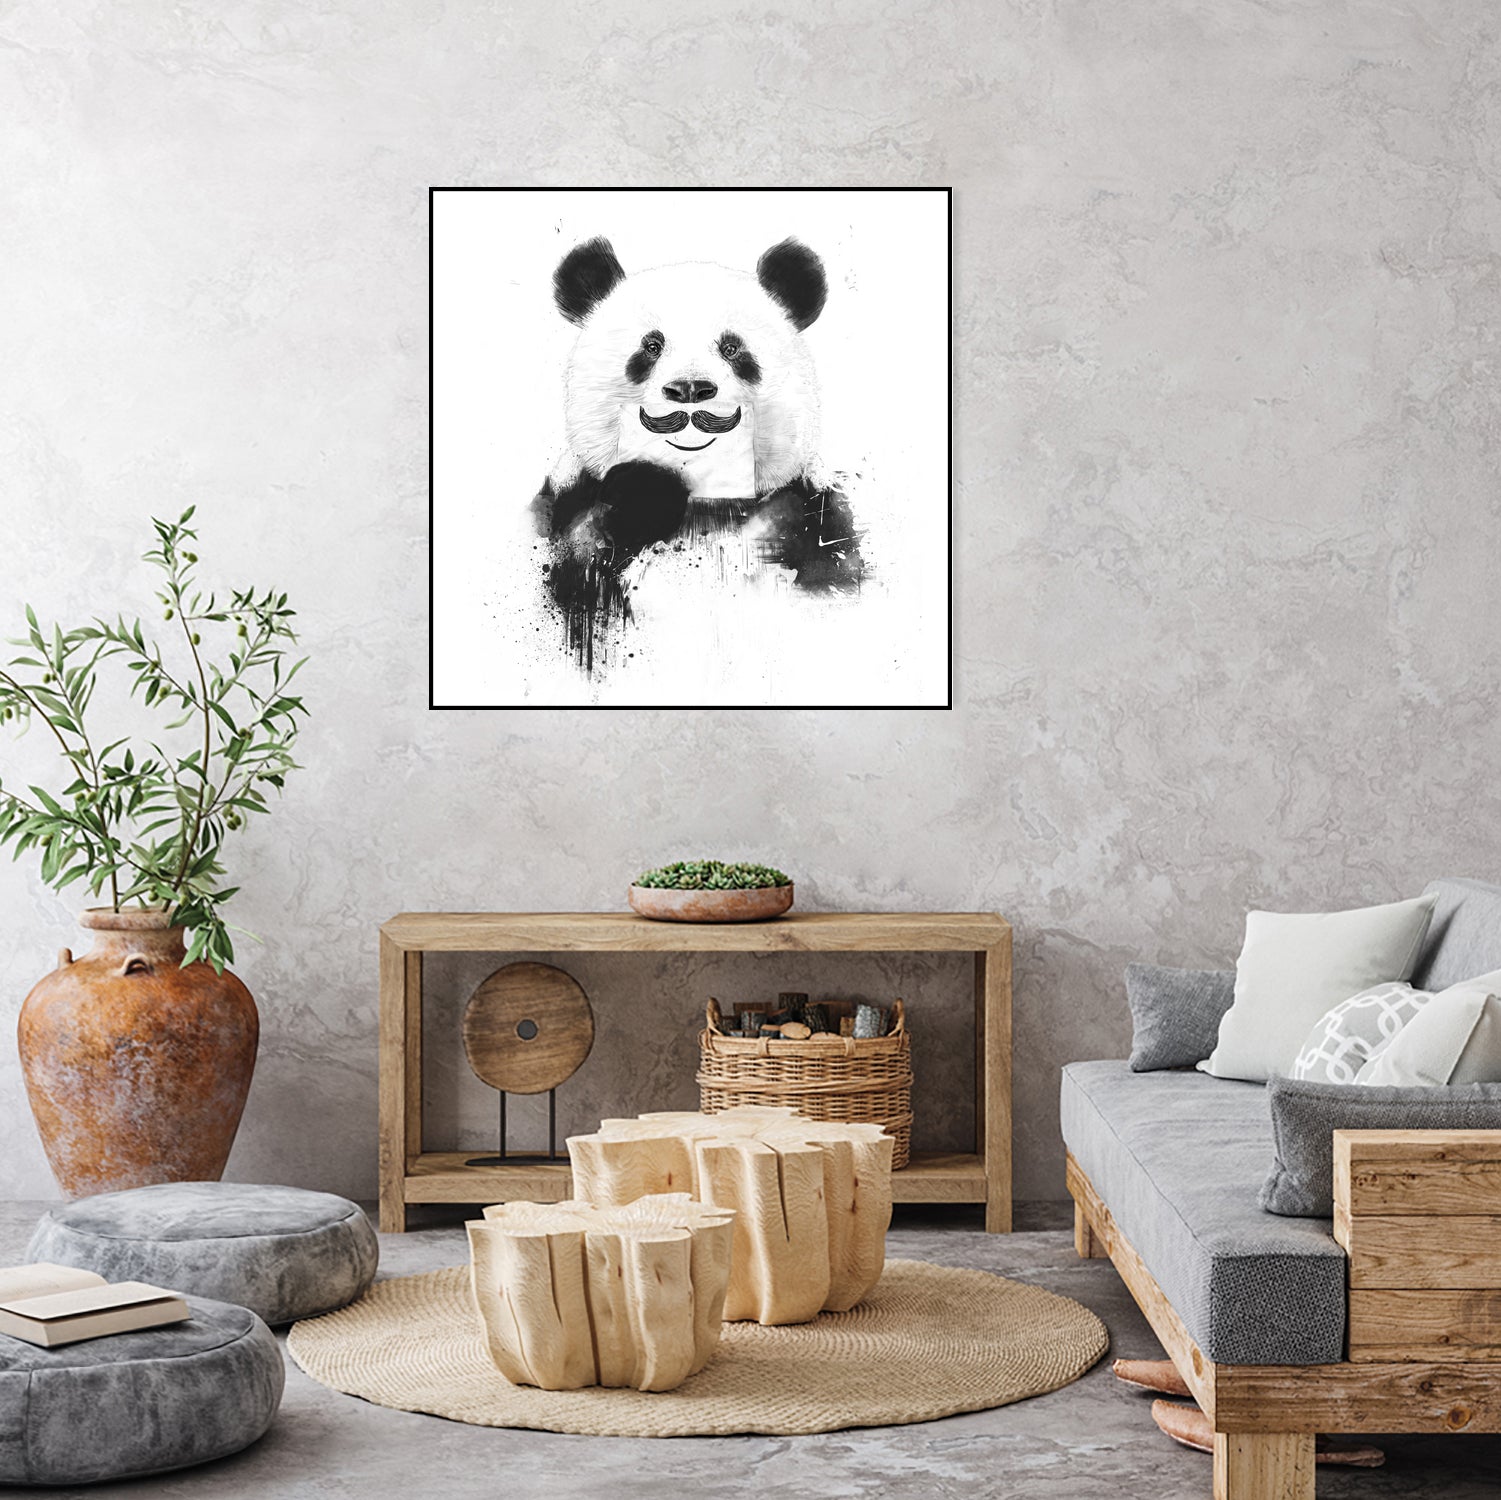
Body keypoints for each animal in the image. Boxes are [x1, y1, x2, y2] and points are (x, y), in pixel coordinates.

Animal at [530, 236, 863, 669]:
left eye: (732, 348)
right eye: (651, 346)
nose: (689, 388)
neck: (702, 504)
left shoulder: (811, 512)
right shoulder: (565, 506)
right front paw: (644, 492)